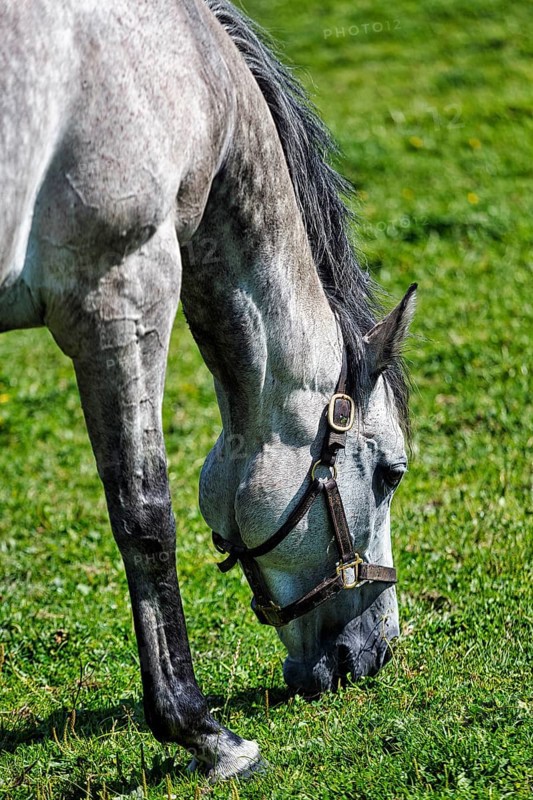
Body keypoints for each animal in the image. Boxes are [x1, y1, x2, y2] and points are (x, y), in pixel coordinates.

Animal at [0, 0, 416, 780]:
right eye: (390, 473)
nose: (376, 650)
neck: (194, 78)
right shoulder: (121, 294)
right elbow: (144, 518)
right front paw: (200, 730)